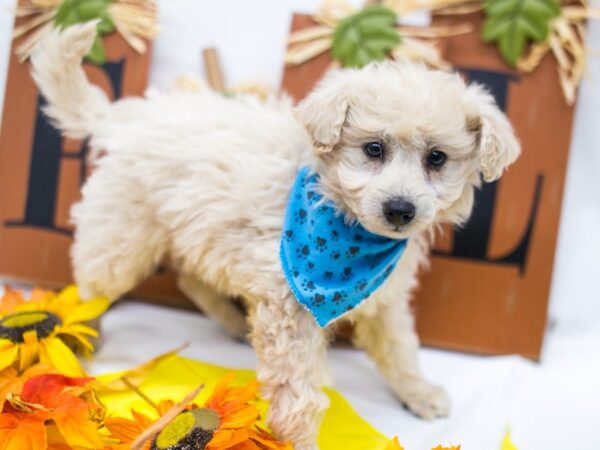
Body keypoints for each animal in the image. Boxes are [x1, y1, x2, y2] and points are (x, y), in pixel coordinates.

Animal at [32, 22, 516, 450]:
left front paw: (418, 392)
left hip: (199, 231)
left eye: (437, 158)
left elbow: (399, 347)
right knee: (93, 283)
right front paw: (298, 443)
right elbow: (299, 396)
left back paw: (232, 323)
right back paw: (86, 335)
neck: (346, 222)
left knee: (190, 277)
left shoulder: (387, 294)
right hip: (124, 234)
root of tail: (125, 116)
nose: (400, 209)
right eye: (373, 149)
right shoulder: (291, 312)